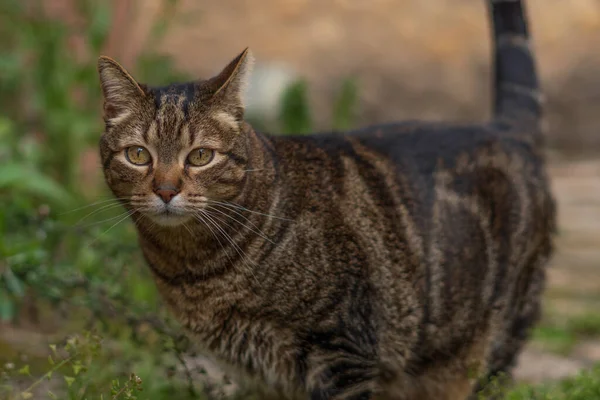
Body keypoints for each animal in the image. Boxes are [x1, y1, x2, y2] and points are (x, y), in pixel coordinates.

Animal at [96, 0, 556, 396]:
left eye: (200, 156)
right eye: (139, 155)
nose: (166, 189)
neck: (196, 270)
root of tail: (503, 128)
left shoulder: (341, 352)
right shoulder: (258, 377)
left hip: (493, 345)